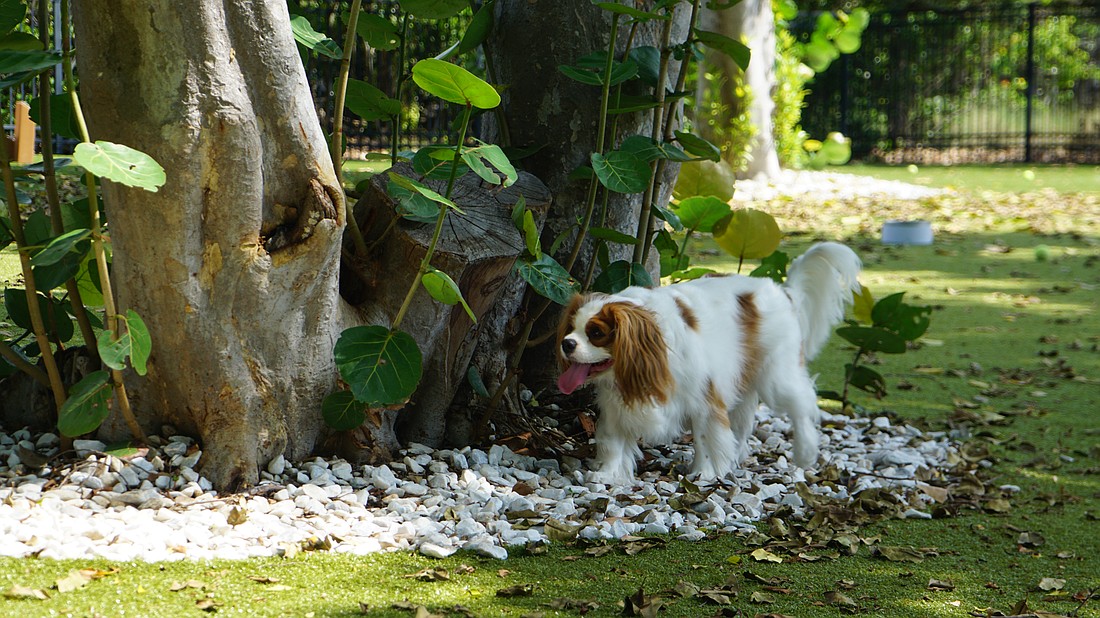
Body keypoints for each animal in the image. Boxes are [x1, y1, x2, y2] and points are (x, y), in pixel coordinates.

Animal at [558, 240, 858, 481]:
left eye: (596, 333)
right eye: (570, 327)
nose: (566, 343)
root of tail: (782, 291)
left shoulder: (704, 397)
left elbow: (705, 438)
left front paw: (705, 473)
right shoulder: (615, 405)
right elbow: (613, 440)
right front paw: (607, 474)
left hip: (776, 376)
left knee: (802, 404)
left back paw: (805, 452)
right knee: (742, 423)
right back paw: (737, 456)